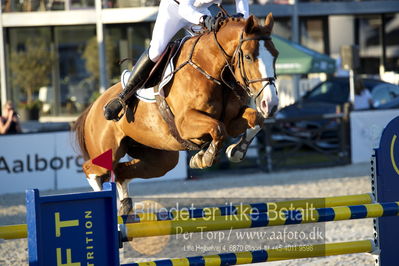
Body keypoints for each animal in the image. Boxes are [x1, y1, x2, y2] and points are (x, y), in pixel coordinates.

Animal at [73, 13, 280, 215]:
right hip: (108, 150)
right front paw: (203, 158)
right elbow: (217, 129)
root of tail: (93, 106)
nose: (270, 103)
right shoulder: (185, 123)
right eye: (248, 57)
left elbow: (255, 120)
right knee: (92, 169)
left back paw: (125, 205)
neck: (211, 69)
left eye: (276, 56)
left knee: (121, 172)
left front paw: (236, 151)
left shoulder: (232, 121)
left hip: (160, 160)